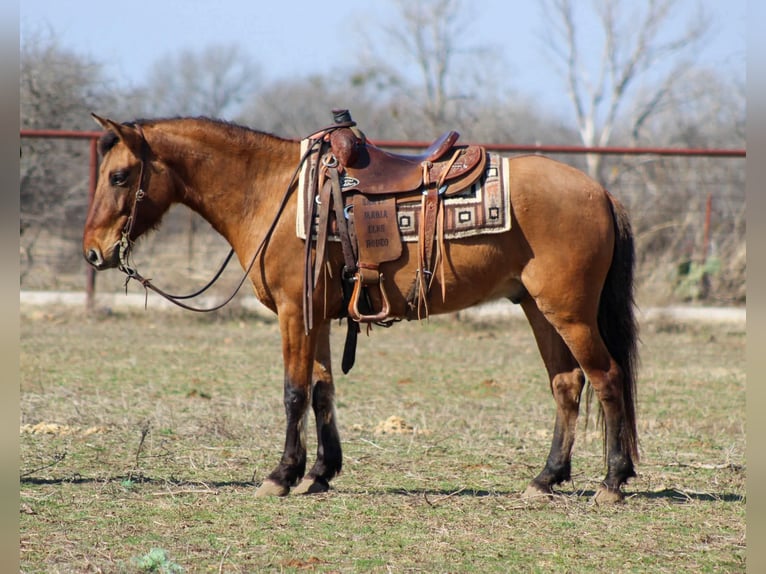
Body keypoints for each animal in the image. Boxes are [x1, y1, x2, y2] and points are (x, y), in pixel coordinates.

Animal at [81, 115, 640, 506]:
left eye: (120, 176)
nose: (93, 252)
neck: (273, 192)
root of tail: (600, 191)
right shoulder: (319, 317)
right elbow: (323, 389)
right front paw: (319, 473)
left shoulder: (293, 312)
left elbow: (294, 391)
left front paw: (281, 475)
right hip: (539, 310)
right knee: (567, 384)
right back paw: (545, 479)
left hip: (568, 313)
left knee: (608, 378)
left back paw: (612, 482)